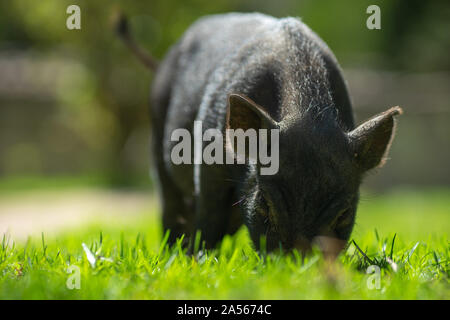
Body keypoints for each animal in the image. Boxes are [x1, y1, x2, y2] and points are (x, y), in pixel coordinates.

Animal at [118, 11, 402, 252]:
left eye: (344, 214)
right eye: (265, 204)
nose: (295, 263)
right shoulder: (209, 159)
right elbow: (209, 217)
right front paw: (199, 258)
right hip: (157, 136)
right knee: (171, 206)